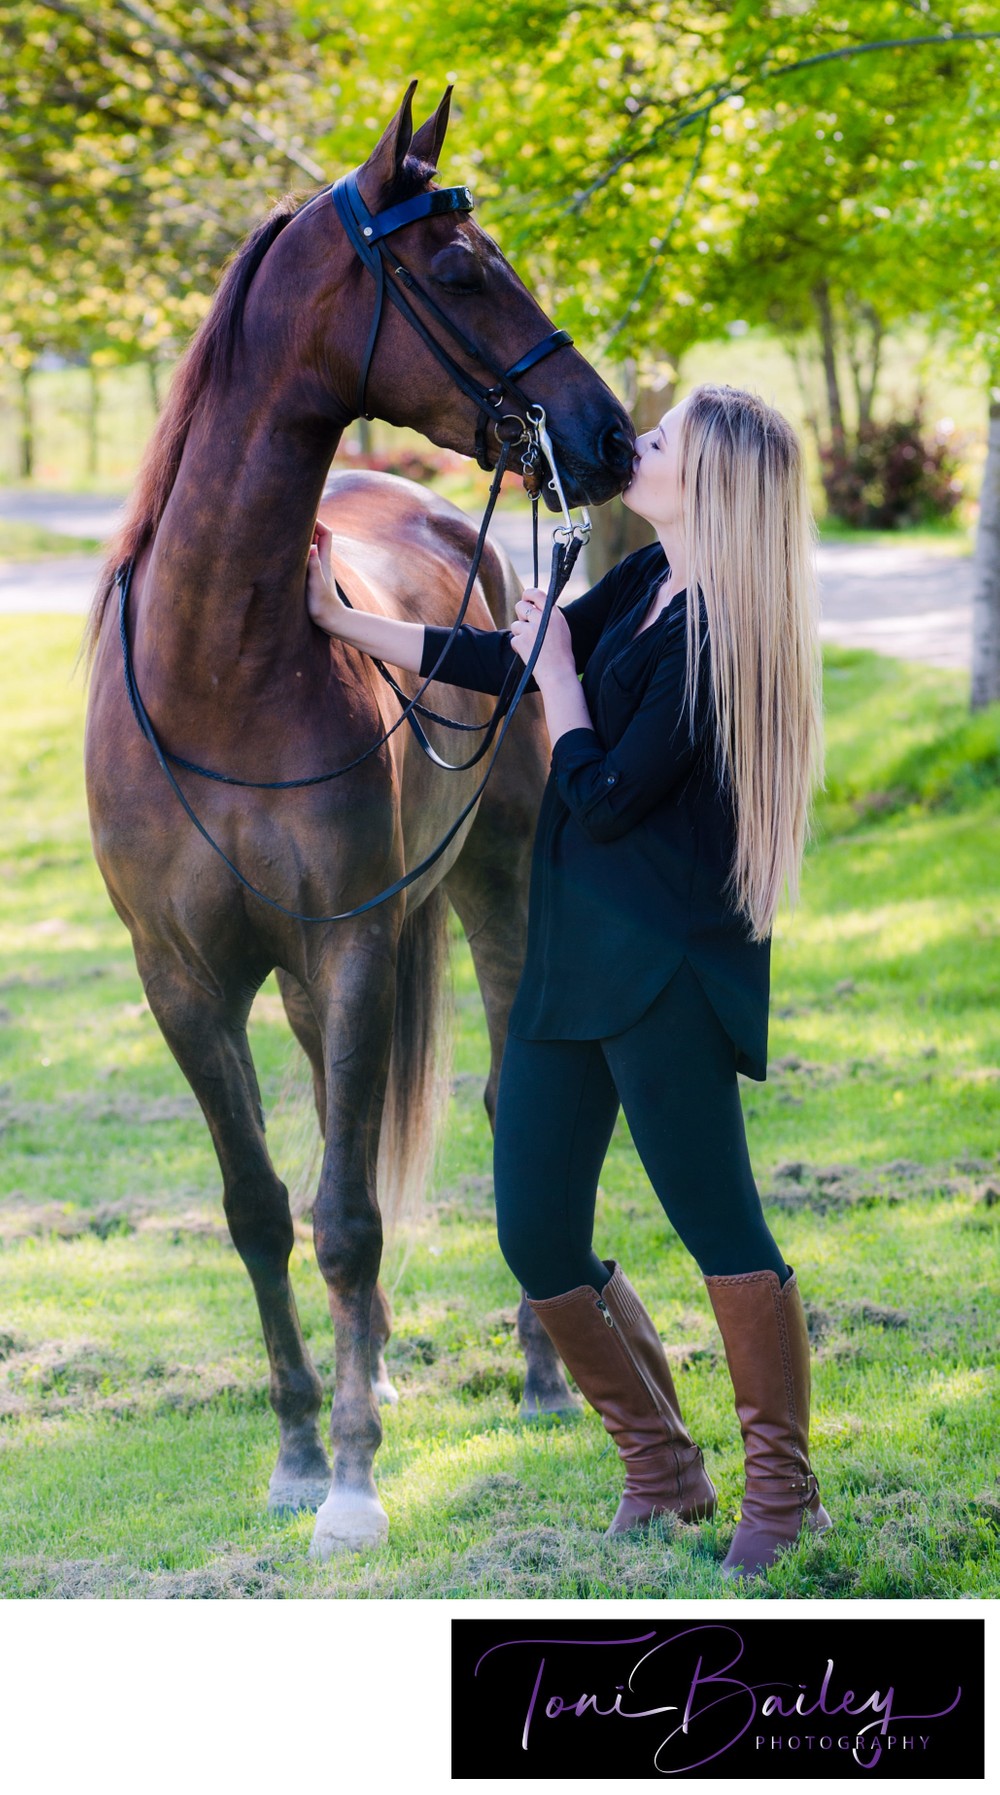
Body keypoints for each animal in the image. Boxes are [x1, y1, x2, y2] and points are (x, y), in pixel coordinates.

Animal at [85, 84, 631, 1558]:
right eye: (461, 271)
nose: (607, 436)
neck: (219, 665)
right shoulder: (187, 981)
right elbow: (262, 1206)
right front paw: (295, 1450)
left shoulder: (349, 946)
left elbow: (344, 1213)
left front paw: (348, 1483)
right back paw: (373, 1363)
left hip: (485, 892)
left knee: (494, 1105)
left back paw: (540, 1374)